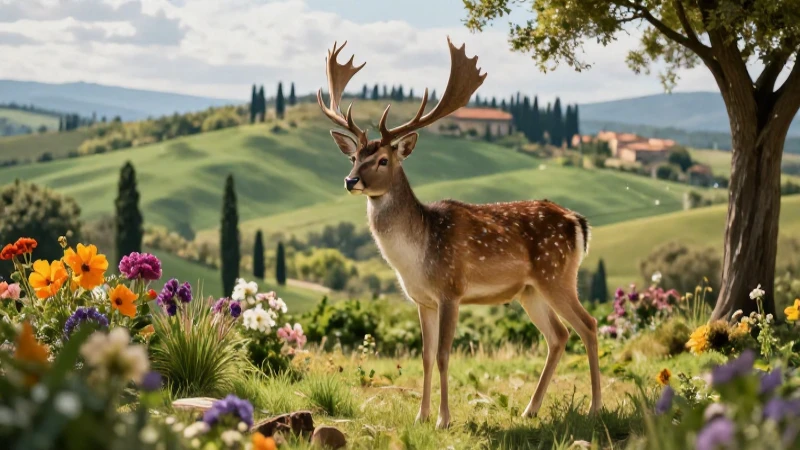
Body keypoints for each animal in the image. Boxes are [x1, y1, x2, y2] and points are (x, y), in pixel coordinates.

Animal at [317, 37, 602, 429]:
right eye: (353, 157)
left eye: (384, 160)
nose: (350, 180)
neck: (416, 257)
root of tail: (577, 222)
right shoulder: (422, 300)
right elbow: (424, 356)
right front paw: (421, 416)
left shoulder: (451, 289)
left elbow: (443, 355)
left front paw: (443, 419)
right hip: (531, 290)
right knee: (558, 335)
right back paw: (531, 409)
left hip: (556, 273)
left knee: (588, 325)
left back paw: (595, 408)